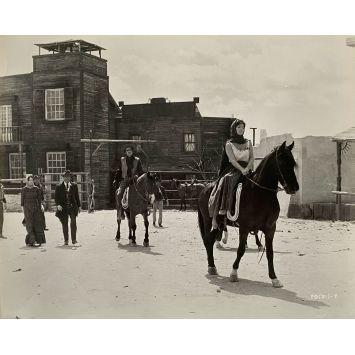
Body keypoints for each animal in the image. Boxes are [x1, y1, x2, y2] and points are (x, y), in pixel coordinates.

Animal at [199, 142, 298, 290]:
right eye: (282, 162)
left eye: (292, 163)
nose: (294, 187)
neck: (259, 193)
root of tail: (205, 189)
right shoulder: (244, 228)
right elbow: (240, 250)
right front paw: (233, 273)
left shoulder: (270, 229)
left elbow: (270, 253)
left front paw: (274, 278)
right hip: (208, 220)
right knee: (207, 240)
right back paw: (211, 266)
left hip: (219, 224)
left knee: (210, 240)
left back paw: (212, 266)